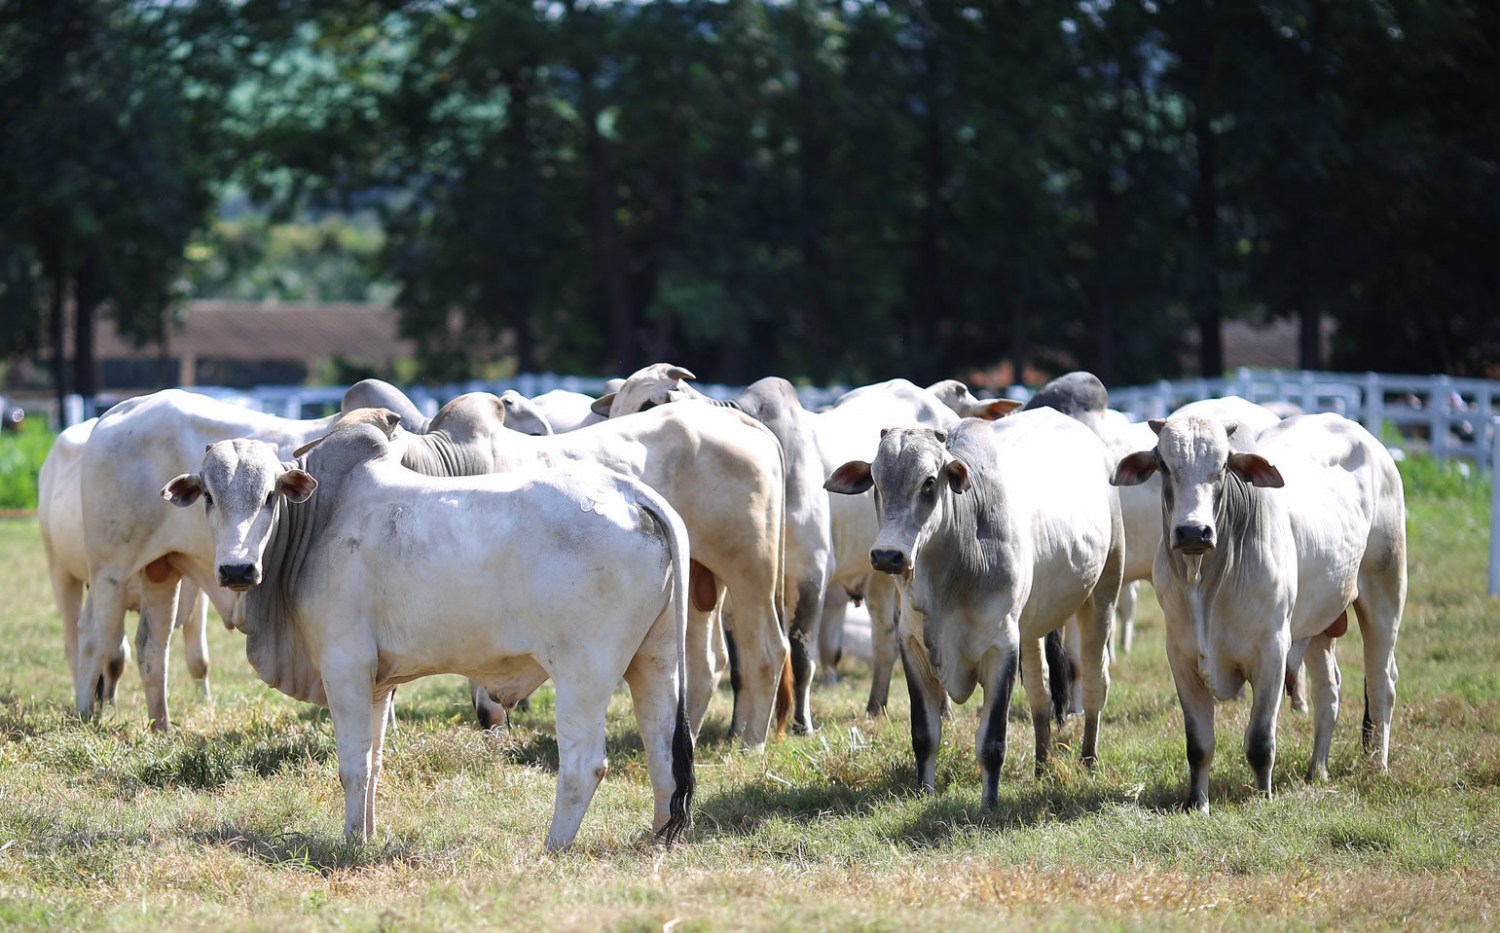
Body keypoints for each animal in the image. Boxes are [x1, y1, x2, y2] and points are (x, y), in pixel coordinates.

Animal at [36, 420, 211, 699]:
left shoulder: (197, 592)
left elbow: (199, 659)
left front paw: (206, 701)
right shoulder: (112, 583)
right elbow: (114, 657)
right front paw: (106, 700)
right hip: (60, 570)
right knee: (73, 641)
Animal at [594, 366, 834, 738]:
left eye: (648, 404)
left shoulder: (811, 572)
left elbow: (802, 655)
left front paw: (802, 725)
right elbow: (737, 666)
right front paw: (738, 728)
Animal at [822, 414, 1128, 810]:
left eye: (929, 482)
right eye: (875, 480)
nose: (888, 555)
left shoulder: (1002, 647)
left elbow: (992, 739)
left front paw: (989, 802)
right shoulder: (913, 646)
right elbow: (924, 733)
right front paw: (925, 791)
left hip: (1103, 593)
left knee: (1094, 680)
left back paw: (1088, 759)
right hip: (1031, 627)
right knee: (1040, 691)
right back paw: (1042, 763)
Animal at [1116, 414, 1404, 816]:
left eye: (1222, 467)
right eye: (1164, 465)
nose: (1193, 532)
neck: (1206, 582)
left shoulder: (1272, 653)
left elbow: (1259, 740)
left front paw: (1263, 796)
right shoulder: (1182, 656)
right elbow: (1199, 744)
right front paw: (1198, 803)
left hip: (1385, 589)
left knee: (1381, 683)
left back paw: (1378, 766)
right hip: (1318, 622)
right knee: (1329, 689)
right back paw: (1318, 769)